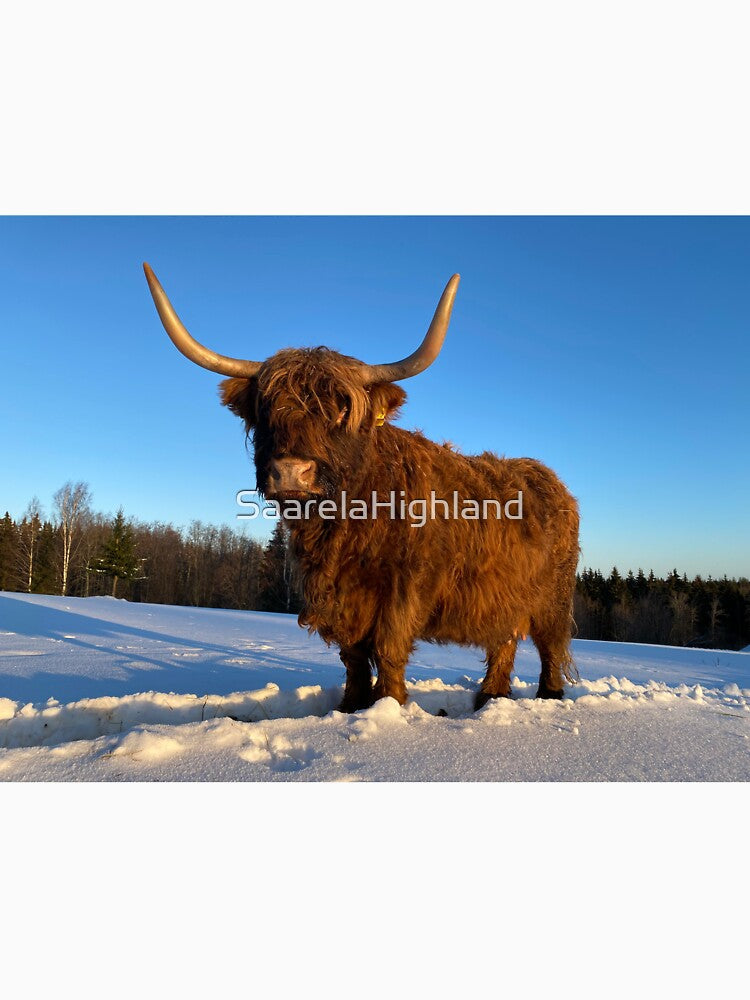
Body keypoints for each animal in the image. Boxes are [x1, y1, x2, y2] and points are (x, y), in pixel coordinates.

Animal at [144, 263, 580, 712]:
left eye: (341, 411)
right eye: (266, 411)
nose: (291, 472)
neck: (345, 525)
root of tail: (549, 477)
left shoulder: (405, 587)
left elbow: (388, 647)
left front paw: (388, 706)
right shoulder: (339, 595)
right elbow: (352, 654)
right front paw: (350, 706)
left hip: (553, 595)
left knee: (550, 644)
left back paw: (547, 694)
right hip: (506, 599)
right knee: (504, 639)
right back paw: (490, 697)